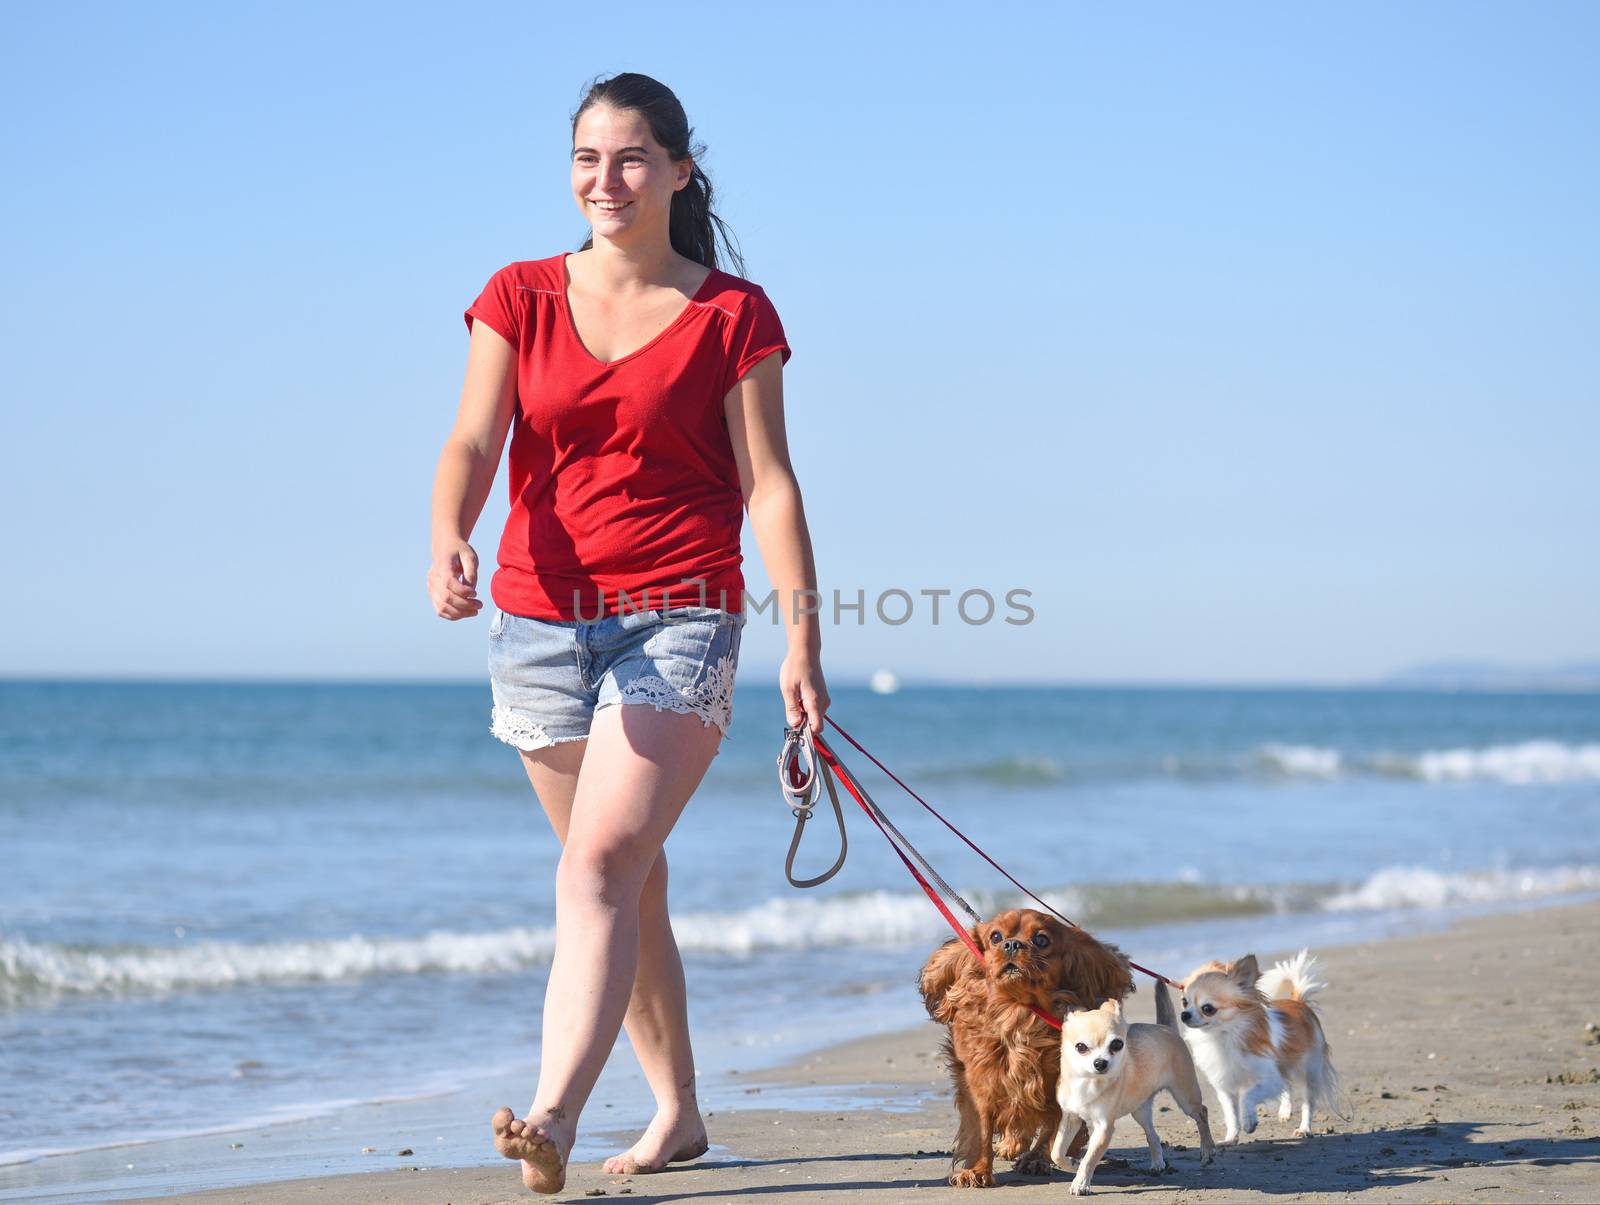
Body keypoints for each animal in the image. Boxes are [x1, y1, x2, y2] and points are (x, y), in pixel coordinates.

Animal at [921, 908, 1132, 1177]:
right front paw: (977, 1170)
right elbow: (981, 1126)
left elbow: (1053, 1129)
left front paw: (1037, 1159)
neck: (1018, 1014)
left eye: (1041, 940)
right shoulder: (980, 1081)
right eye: (996, 937)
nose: (1012, 944)